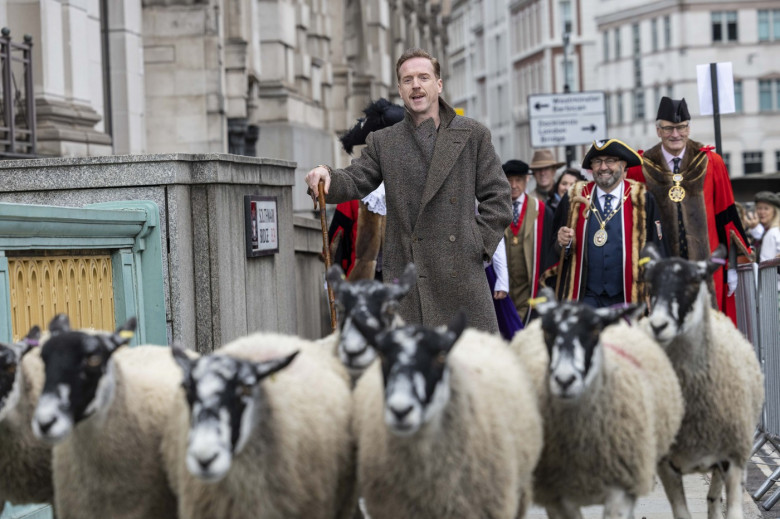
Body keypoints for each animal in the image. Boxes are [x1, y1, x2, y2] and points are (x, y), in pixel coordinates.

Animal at [644, 245, 764, 519]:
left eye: (692, 282)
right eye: (651, 283)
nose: (658, 326)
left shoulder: (733, 457)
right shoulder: (667, 466)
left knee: (713, 498)